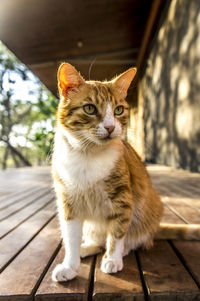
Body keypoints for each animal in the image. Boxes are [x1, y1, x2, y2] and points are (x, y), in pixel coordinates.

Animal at [51, 62, 200, 280]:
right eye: (89, 108)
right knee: (97, 241)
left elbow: (117, 233)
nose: (110, 127)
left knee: (134, 239)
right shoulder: (68, 204)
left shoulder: (121, 200)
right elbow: (71, 239)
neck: (89, 155)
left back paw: (121, 251)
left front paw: (113, 259)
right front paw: (69, 265)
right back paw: (86, 248)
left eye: (119, 110)